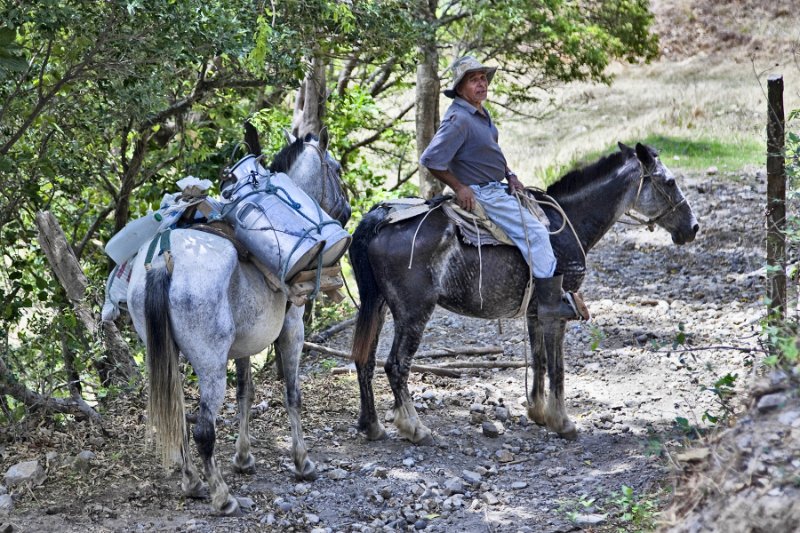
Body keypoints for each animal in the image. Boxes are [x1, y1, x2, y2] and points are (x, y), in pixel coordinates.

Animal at [124, 122, 346, 512]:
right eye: (335, 169)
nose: (347, 211)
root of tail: (166, 259)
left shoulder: (244, 343)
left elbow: (246, 391)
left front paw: (243, 458)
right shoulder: (292, 329)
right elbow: (292, 393)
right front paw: (302, 461)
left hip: (165, 354)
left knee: (179, 417)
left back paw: (193, 482)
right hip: (210, 362)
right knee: (203, 428)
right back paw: (221, 495)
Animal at [354, 143, 696, 442]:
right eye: (669, 181)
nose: (692, 227)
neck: (569, 221)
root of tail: (380, 218)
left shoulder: (535, 313)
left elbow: (540, 359)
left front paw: (539, 412)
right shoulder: (558, 313)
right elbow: (558, 367)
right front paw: (562, 422)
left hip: (378, 305)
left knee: (364, 360)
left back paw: (372, 426)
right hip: (414, 312)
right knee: (395, 365)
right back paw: (415, 428)